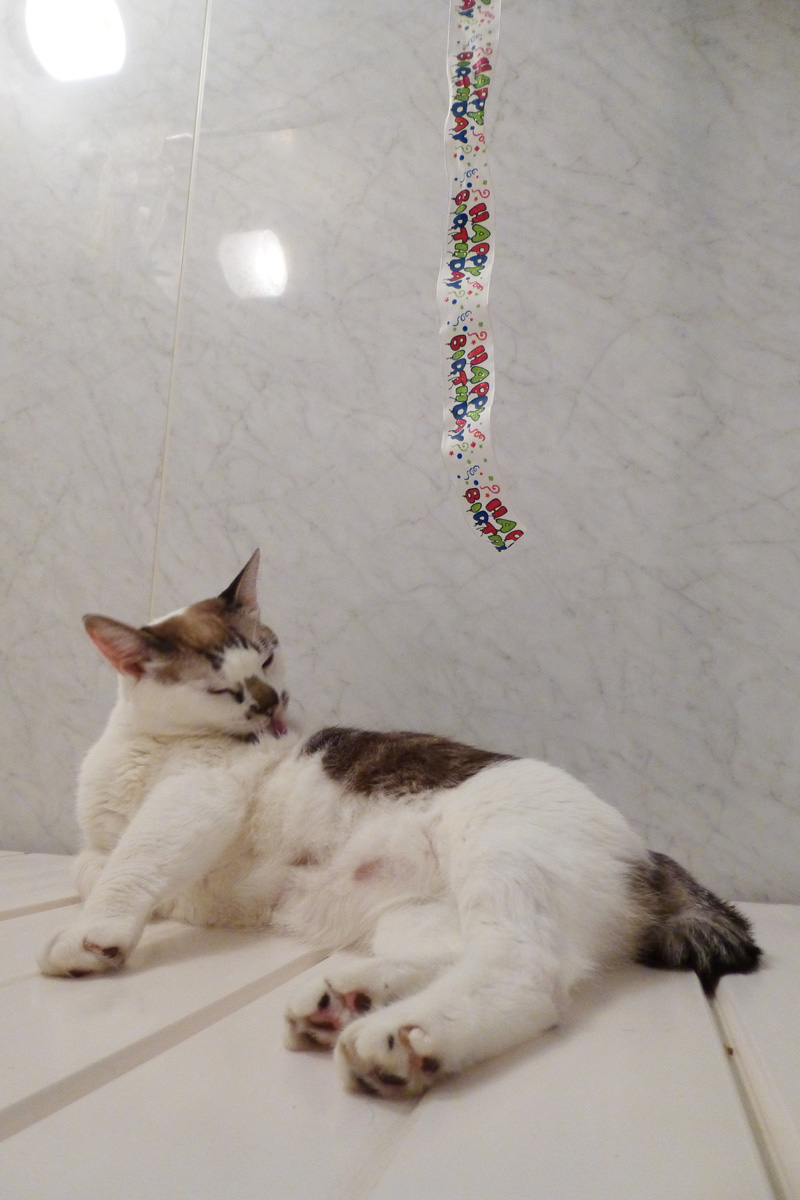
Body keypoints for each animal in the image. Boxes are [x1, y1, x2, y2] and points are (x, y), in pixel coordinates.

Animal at [39, 551, 761, 1098]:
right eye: (222, 687)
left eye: (267, 660)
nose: (272, 705)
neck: (144, 743)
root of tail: (650, 855)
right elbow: (90, 862)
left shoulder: (196, 799)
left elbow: (131, 862)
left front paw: (92, 934)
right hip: (417, 913)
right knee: (454, 955)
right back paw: (348, 997)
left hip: (498, 851)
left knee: (524, 972)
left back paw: (399, 1038)